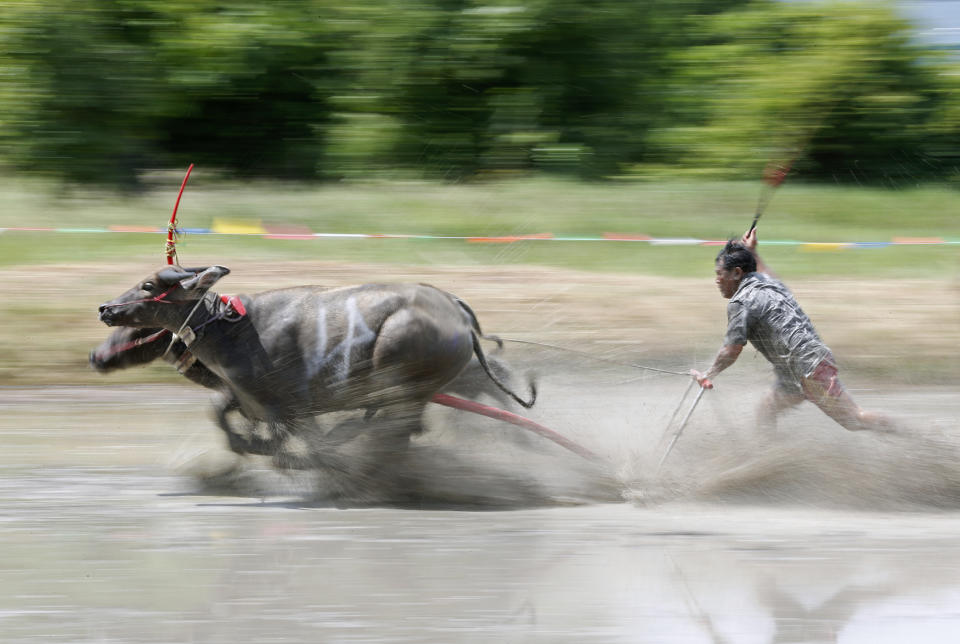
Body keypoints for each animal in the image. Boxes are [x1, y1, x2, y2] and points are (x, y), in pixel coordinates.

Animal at [100, 266, 536, 472]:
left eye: (147, 286)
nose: (106, 309)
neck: (234, 330)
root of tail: (456, 311)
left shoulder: (288, 407)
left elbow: (293, 444)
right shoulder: (248, 401)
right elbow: (225, 419)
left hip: (402, 383)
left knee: (398, 431)